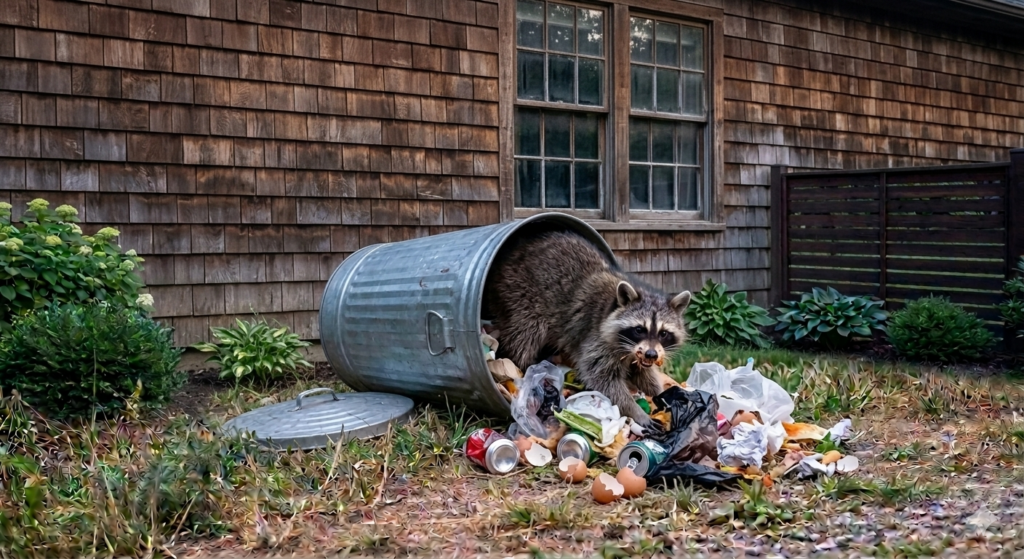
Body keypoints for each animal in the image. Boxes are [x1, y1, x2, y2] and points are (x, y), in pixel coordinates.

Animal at [485, 230, 691, 429]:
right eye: (639, 329)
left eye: (663, 333)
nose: (651, 355)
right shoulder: (597, 338)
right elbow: (602, 379)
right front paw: (634, 410)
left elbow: (643, 374)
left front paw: (662, 392)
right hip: (519, 295)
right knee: (524, 336)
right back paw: (524, 368)